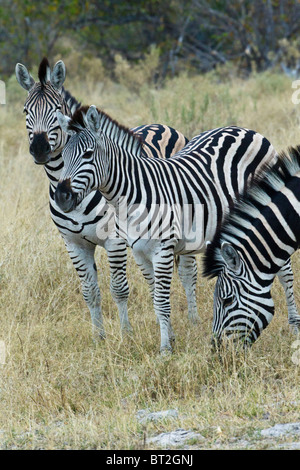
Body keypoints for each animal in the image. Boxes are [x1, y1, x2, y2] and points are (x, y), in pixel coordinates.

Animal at [15, 57, 199, 340]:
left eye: (56, 109)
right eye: (26, 111)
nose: (39, 149)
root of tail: (162, 125)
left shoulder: (114, 239)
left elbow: (118, 288)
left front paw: (126, 334)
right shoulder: (73, 243)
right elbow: (90, 292)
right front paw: (99, 337)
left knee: (188, 273)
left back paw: (193, 321)